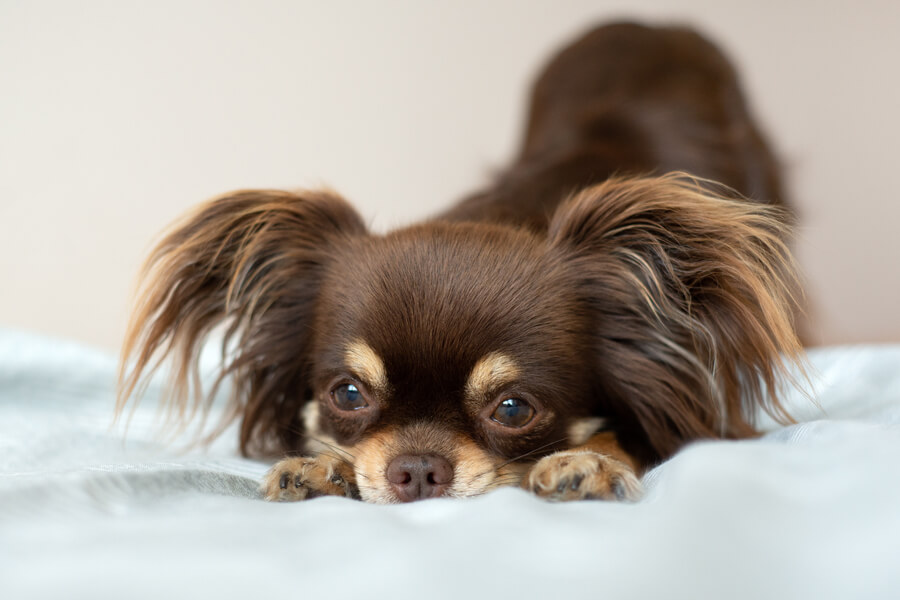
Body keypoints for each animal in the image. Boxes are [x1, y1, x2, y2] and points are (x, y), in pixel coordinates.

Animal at [116, 22, 800, 502]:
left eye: (514, 410)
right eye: (347, 394)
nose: (418, 470)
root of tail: (650, 24)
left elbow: (626, 431)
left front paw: (592, 460)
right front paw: (324, 464)